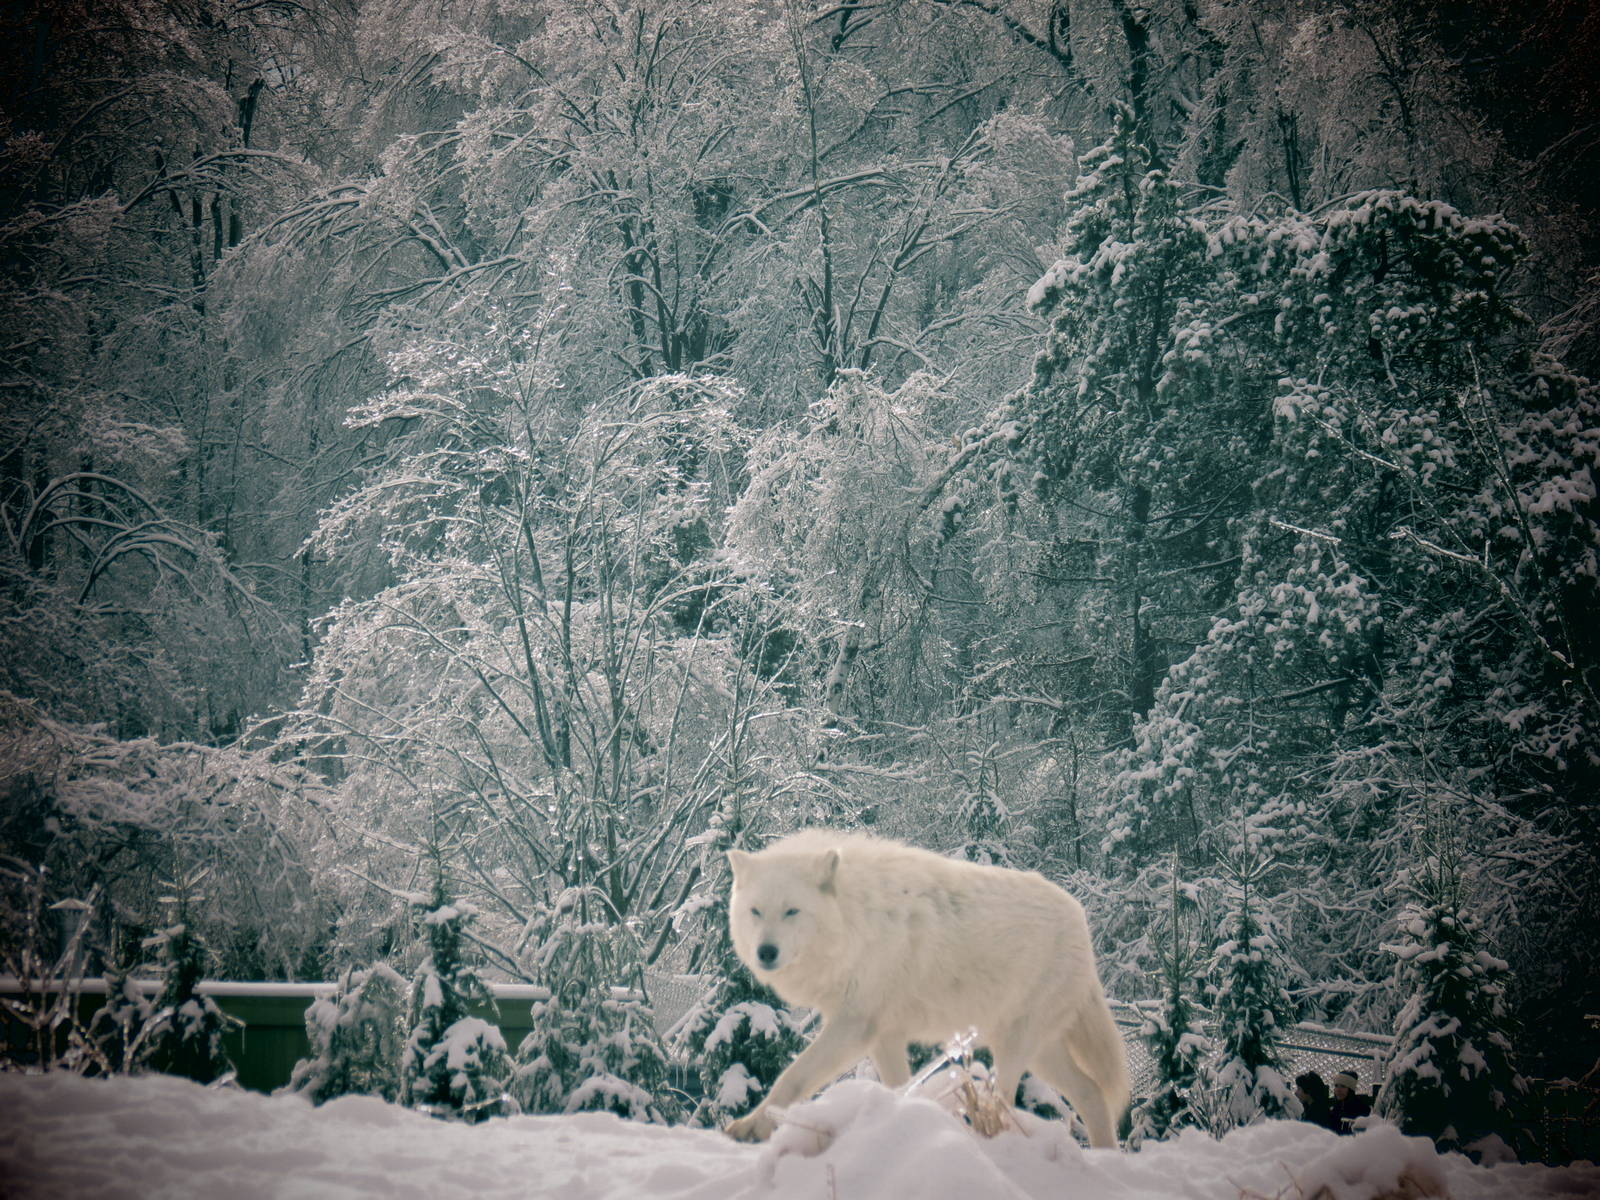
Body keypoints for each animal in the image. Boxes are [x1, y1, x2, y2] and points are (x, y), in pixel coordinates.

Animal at [723, 829, 1130, 1146]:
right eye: (755, 912)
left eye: (792, 911)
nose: (766, 952)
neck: (857, 920)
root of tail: (1079, 917)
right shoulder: (883, 1037)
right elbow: (898, 1086)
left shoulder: (853, 1026)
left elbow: (793, 1077)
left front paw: (751, 1127)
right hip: (1041, 1054)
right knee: (1092, 1095)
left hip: (1015, 1047)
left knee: (1003, 1100)